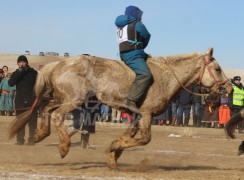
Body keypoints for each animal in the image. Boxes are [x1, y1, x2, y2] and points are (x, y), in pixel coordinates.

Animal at [7, 47, 229, 169]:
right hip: (73, 100)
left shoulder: (137, 116)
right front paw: (113, 149)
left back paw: (39, 135)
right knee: (57, 116)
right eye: (217, 69)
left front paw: (113, 154)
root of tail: (59, 64)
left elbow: (130, 137)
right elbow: (144, 139)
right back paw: (63, 147)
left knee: (46, 109)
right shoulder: (146, 115)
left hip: (63, 98)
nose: (227, 88)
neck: (165, 76)